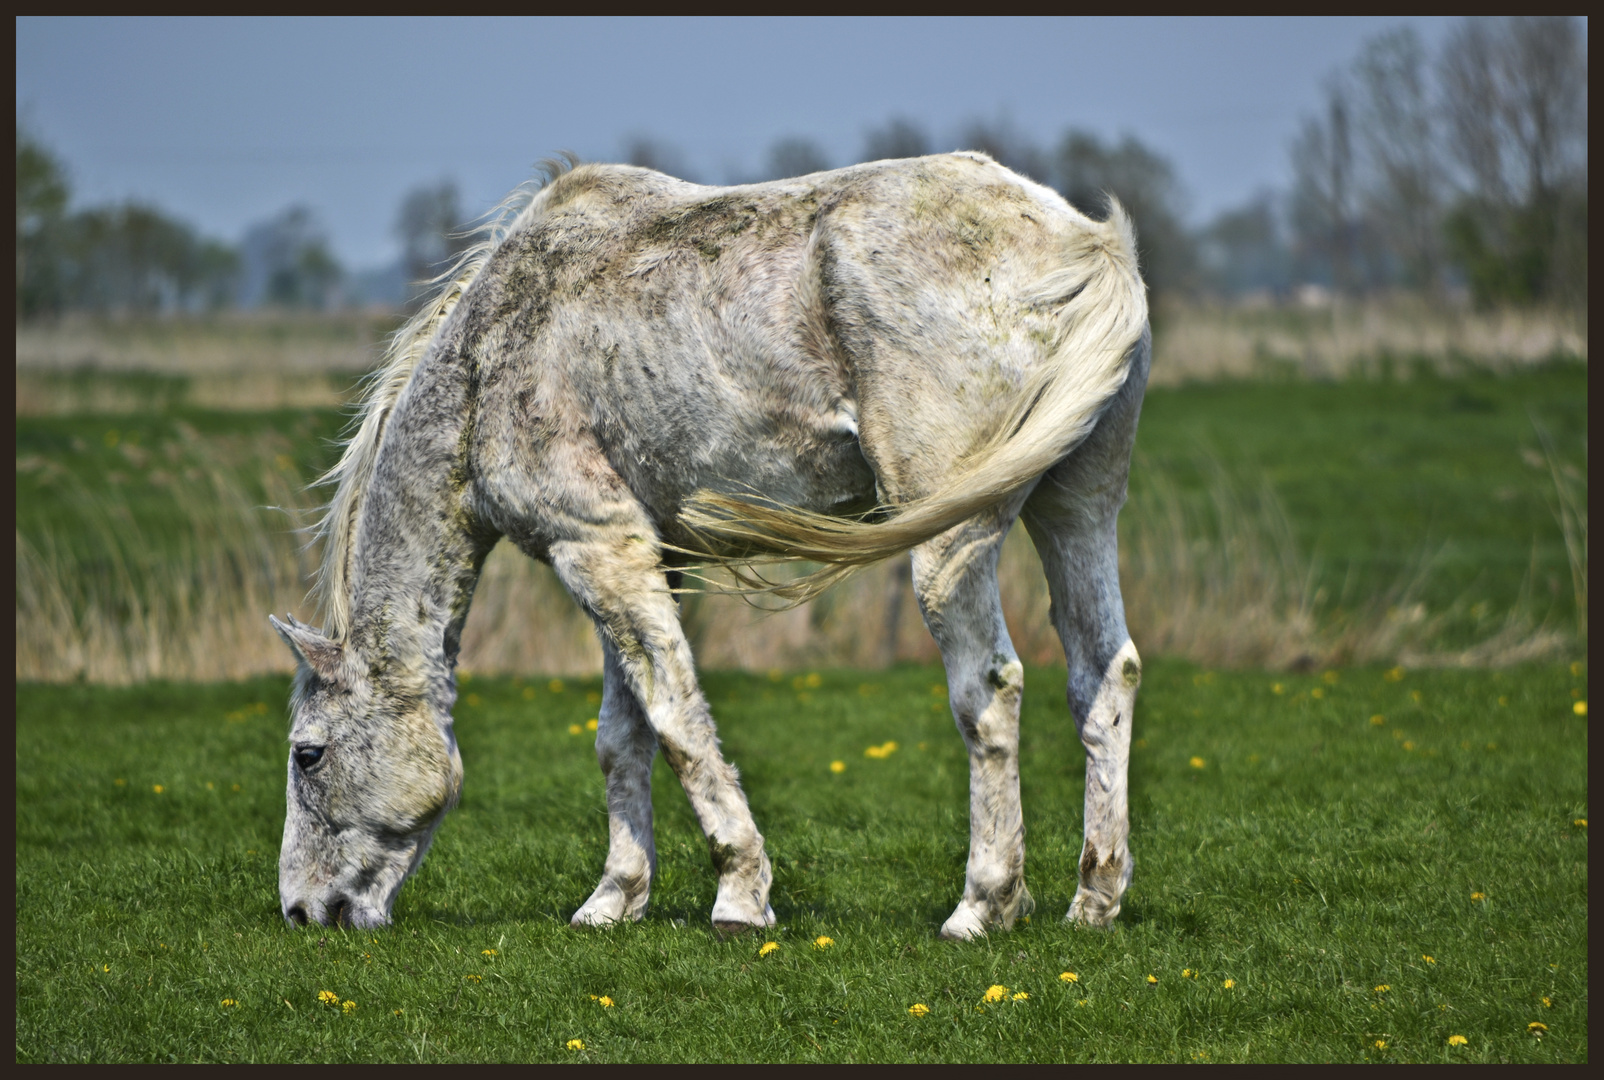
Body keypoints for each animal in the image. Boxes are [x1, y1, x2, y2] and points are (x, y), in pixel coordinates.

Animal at [269, 151, 1148, 937]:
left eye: (307, 755)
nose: (301, 911)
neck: (494, 357)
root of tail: (1085, 246)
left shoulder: (596, 547)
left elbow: (677, 722)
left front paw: (739, 893)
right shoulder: (649, 558)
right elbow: (622, 736)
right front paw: (614, 899)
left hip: (954, 543)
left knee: (989, 690)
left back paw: (983, 905)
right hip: (1078, 512)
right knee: (1105, 677)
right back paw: (1093, 900)